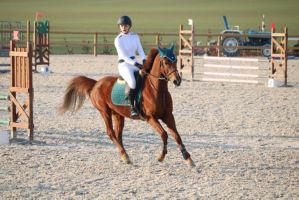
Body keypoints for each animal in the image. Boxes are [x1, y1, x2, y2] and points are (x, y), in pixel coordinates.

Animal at [58, 46, 195, 166]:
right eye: (166, 62)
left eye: (175, 60)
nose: (177, 80)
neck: (157, 90)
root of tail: (96, 83)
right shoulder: (151, 118)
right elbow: (164, 134)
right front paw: (161, 156)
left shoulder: (168, 116)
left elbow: (177, 136)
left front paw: (188, 158)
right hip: (104, 112)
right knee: (111, 133)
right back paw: (125, 155)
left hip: (118, 115)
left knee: (118, 135)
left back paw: (124, 156)